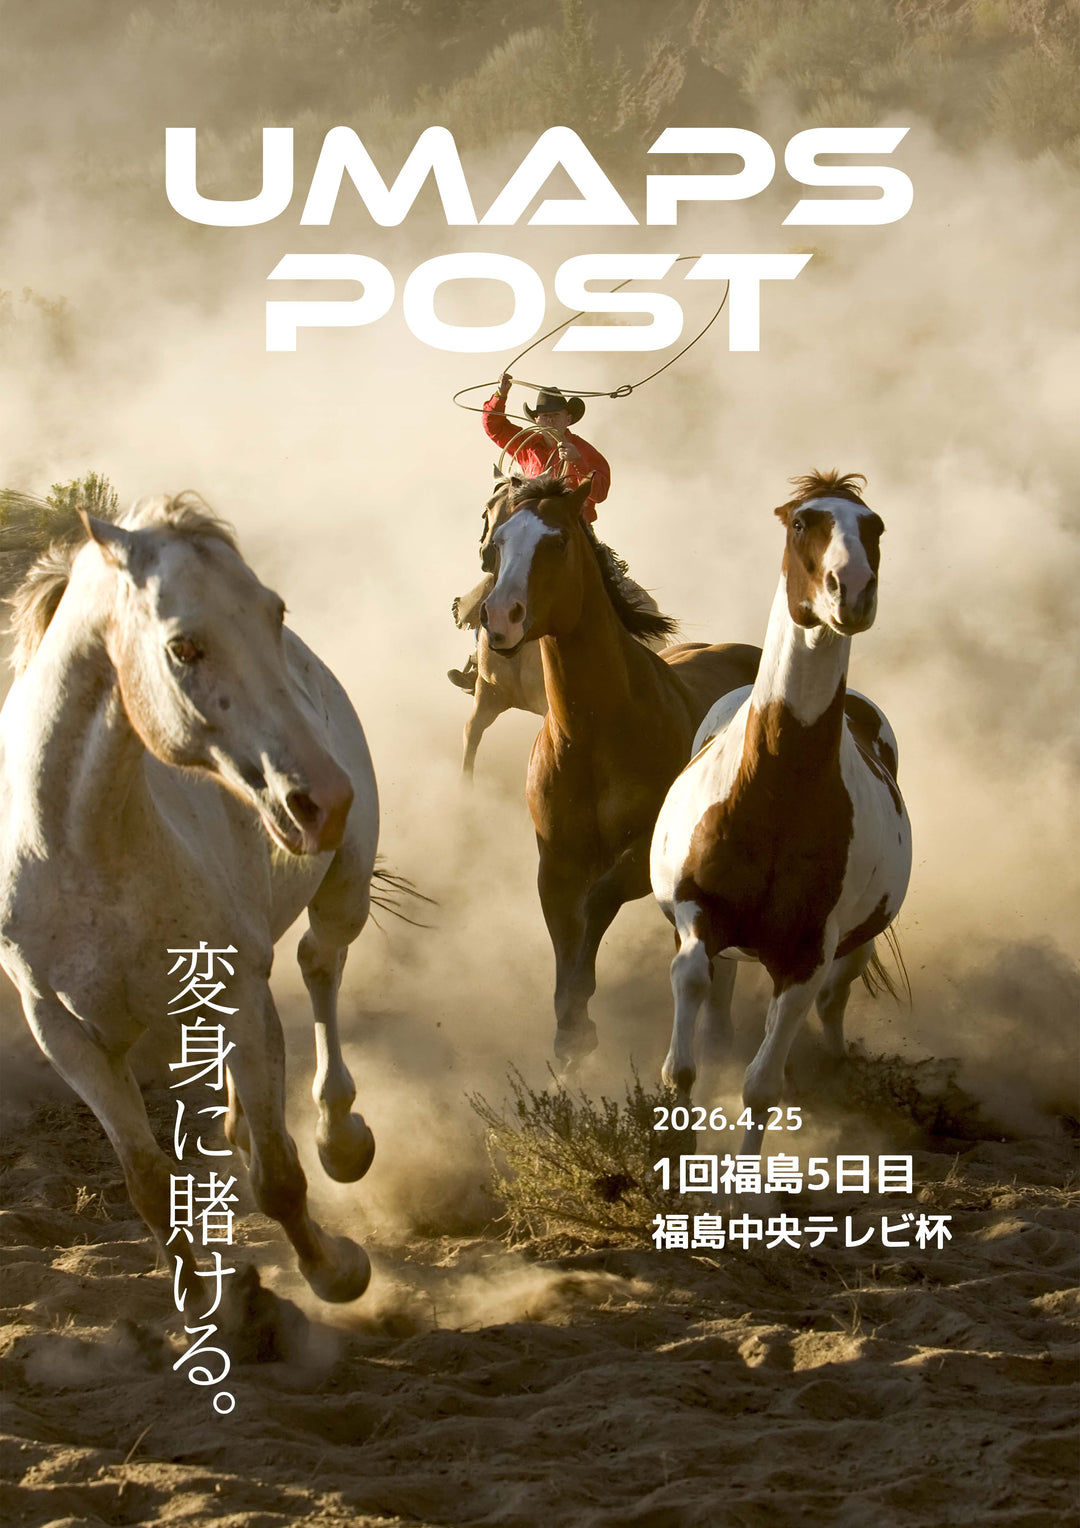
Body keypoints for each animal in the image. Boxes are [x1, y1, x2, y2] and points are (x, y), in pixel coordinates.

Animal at [0, 494, 379, 1324]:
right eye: (184, 647)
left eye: (273, 612)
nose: (322, 800)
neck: (82, 854)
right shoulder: (66, 1036)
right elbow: (145, 1181)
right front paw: (199, 1298)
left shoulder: (231, 987)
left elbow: (279, 1177)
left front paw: (337, 1272)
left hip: (344, 889)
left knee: (320, 966)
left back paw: (341, 1137)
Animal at [479, 474, 761, 1068]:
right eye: (498, 543)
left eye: (558, 541)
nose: (499, 617)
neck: (594, 736)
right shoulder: (556, 864)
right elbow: (566, 933)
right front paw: (570, 1031)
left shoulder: (640, 863)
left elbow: (597, 905)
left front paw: (579, 1021)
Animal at [650, 472, 912, 1155]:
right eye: (801, 523)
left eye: (875, 526)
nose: (853, 592)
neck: (775, 790)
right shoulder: (697, 914)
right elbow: (685, 1034)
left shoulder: (805, 956)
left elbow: (762, 1085)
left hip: (851, 948)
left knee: (829, 1005)